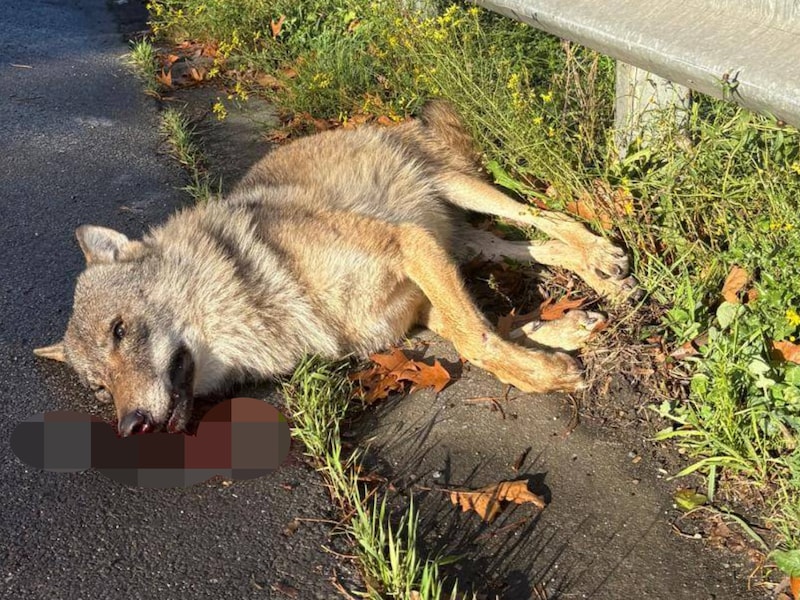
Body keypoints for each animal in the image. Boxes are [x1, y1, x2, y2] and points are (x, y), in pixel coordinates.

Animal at [34, 101, 637, 436]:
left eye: (119, 331)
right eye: (98, 389)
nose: (129, 425)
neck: (262, 302)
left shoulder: (408, 245)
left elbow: (477, 339)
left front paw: (545, 372)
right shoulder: (411, 309)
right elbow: (481, 332)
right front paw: (552, 345)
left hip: (461, 196)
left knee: (548, 216)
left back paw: (604, 262)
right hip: (466, 246)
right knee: (537, 252)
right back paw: (586, 301)